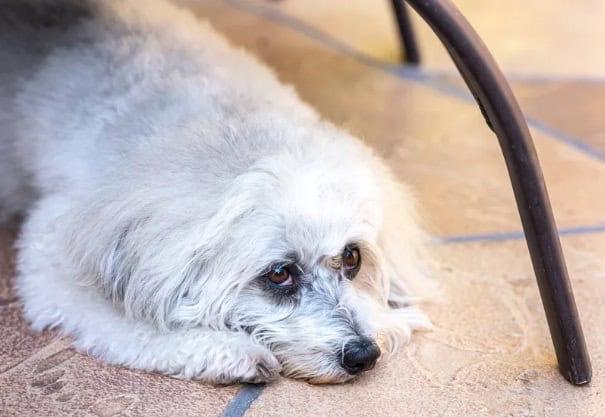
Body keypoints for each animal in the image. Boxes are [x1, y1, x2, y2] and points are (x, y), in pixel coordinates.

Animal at [2, 0, 432, 384]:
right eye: (280, 274)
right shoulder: (55, 261)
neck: (223, 121)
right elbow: (133, 325)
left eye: (352, 257)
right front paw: (229, 350)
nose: (363, 354)